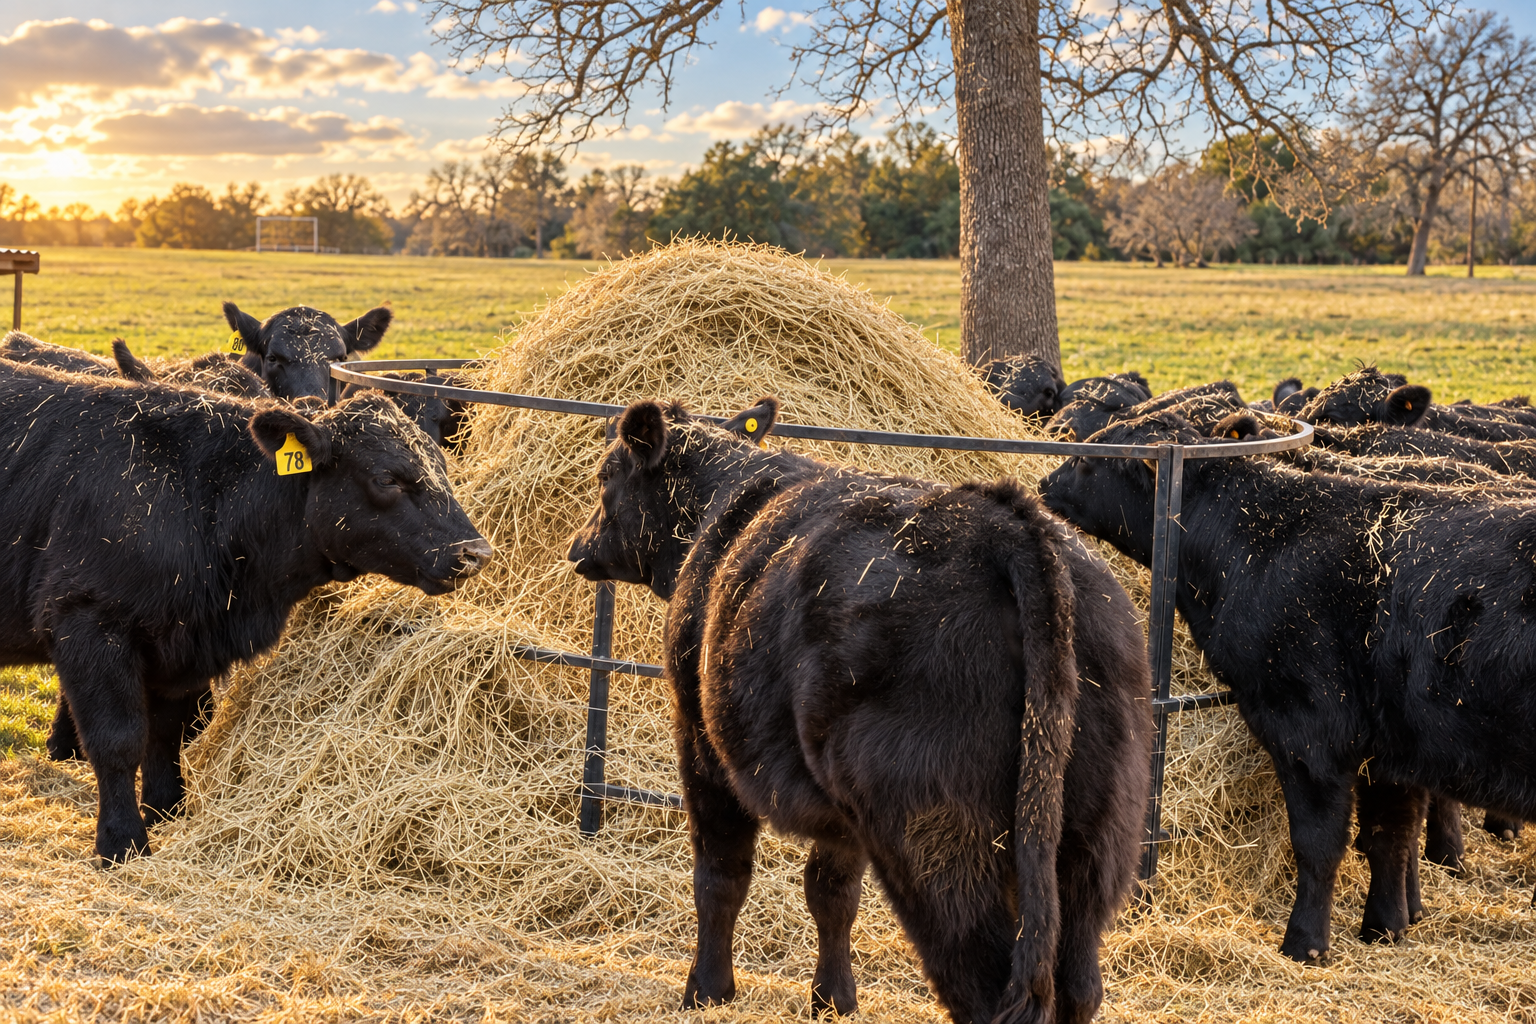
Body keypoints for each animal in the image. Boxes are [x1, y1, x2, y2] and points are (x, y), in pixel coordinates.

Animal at [0, 361, 492, 863]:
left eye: (443, 465)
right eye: (388, 478)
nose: (475, 552)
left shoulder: (182, 644)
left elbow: (166, 730)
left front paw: (168, 810)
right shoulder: (90, 623)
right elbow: (118, 741)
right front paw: (123, 841)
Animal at [567, 397, 1151, 1024]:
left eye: (605, 475)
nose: (578, 548)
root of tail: (1008, 524)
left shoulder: (700, 743)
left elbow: (720, 876)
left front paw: (707, 989)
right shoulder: (839, 813)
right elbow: (832, 892)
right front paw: (833, 998)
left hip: (938, 838)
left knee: (980, 980)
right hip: (1092, 841)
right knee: (1078, 983)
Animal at [1040, 411, 1536, 964]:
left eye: (1089, 460)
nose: (1044, 483)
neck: (1258, 544)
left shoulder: (1309, 734)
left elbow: (1319, 842)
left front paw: (1305, 943)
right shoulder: (1390, 746)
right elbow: (1391, 835)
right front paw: (1386, 927)